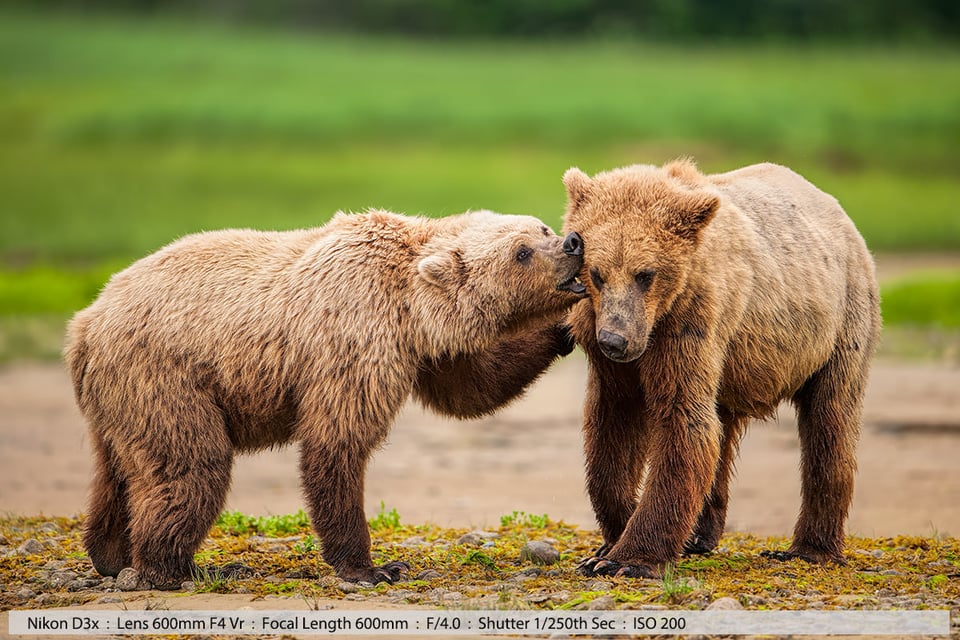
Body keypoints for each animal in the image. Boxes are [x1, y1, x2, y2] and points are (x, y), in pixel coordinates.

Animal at [65, 208, 584, 588]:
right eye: (521, 252)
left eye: (541, 227)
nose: (572, 244)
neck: (409, 302)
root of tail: (84, 324)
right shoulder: (354, 339)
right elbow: (338, 444)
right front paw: (374, 567)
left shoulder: (423, 350)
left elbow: (473, 387)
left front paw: (564, 328)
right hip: (167, 378)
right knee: (190, 466)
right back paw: (187, 567)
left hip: (118, 399)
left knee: (118, 472)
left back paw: (111, 555)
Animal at [564, 161, 884, 580]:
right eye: (597, 273)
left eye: (645, 274)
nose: (614, 340)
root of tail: (838, 211)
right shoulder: (614, 358)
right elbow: (612, 429)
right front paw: (605, 545)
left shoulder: (691, 322)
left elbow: (682, 420)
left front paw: (628, 559)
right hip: (736, 363)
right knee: (722, 427)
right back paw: (700, 535)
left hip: (839, 323)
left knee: (829, 422)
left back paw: (809, 549)